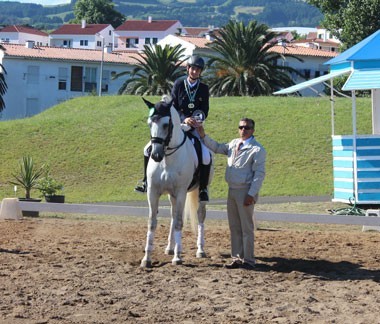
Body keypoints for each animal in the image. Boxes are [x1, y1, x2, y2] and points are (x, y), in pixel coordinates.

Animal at [140, 97, 211, 268]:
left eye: (166, 124)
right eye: (149, 123)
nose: (155, 155)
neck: (167, 158)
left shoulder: (180, 193)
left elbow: (179, 222)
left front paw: (178, 258)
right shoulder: (153, 192)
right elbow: (152, 222)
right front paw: (147, 258)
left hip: (200, 191)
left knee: (200, 215)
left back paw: (200, 250)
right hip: (170, 195)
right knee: (172, 216)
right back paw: (170, 248)